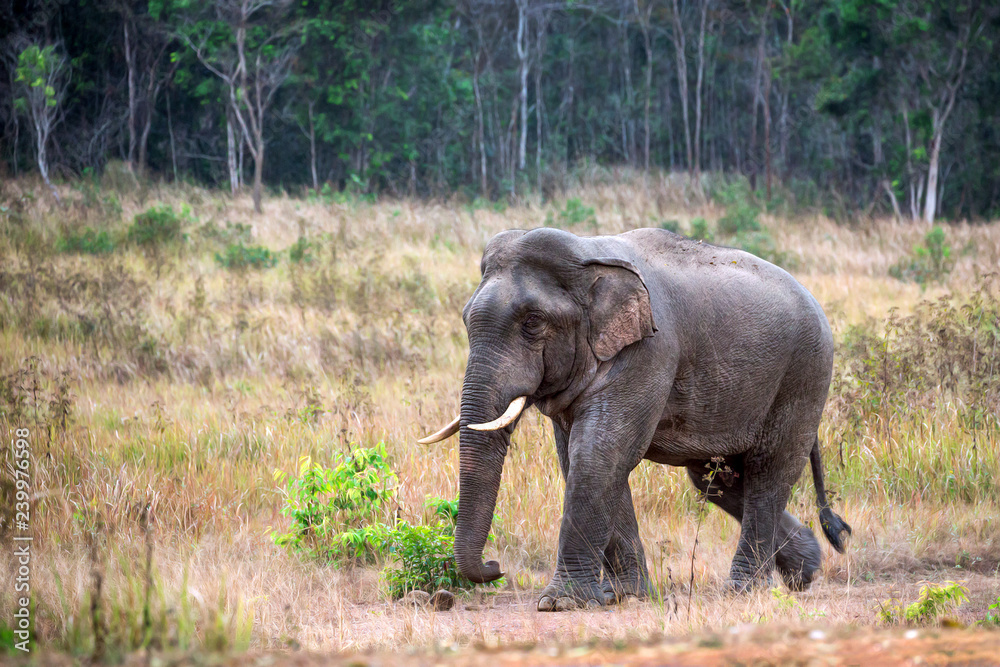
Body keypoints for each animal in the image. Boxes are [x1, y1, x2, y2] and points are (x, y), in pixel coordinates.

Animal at [418, 227, 851, 612]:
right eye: (465, 320)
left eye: (533, 322)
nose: (495, 567)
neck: (587, 254)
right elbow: (584, 460)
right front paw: (625, 596)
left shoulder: (649, 351)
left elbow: (599, 455)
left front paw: (560, 603)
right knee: (715, 480)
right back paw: (804, 572)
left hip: (805, 374)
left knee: (768, 472)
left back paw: (745, 590)